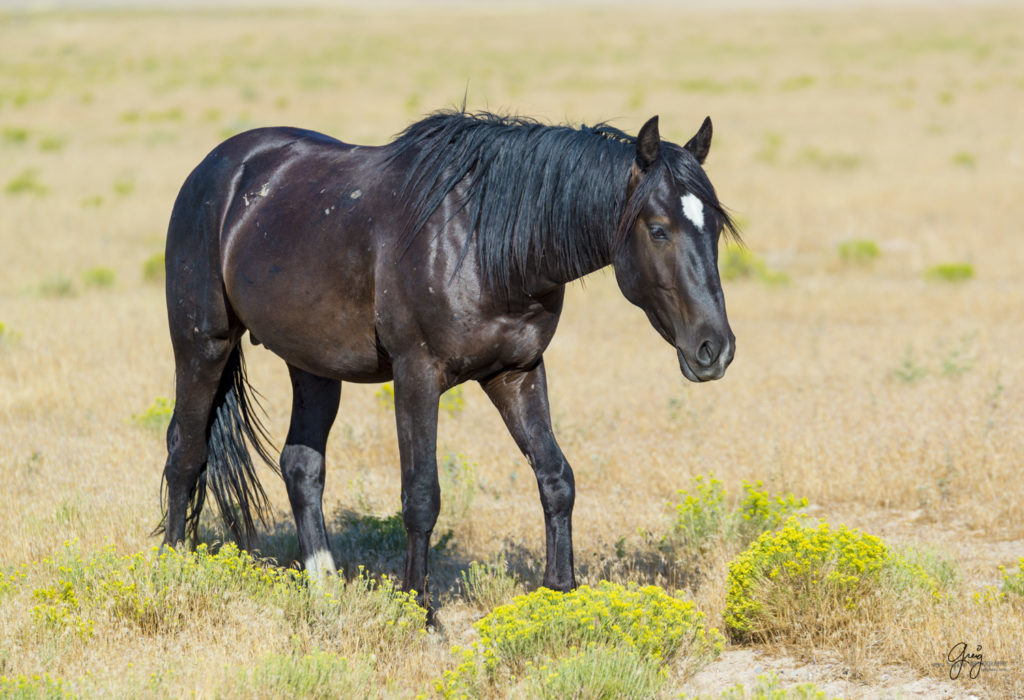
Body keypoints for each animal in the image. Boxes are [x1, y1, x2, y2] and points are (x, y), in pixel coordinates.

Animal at [155, 106, 737, 609]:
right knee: (185, 451)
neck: (483, 244)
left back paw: (326, 589)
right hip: (202, 345)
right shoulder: (417, 374)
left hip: (315, 366)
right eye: (658, 229)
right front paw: (421, 609)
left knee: (300, 466)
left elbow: (556, 478)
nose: (715, 349)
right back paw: (174, 569)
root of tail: (217, 168)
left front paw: (560, 593)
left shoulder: (517, 373)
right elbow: (421, 496)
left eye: (715, 228)